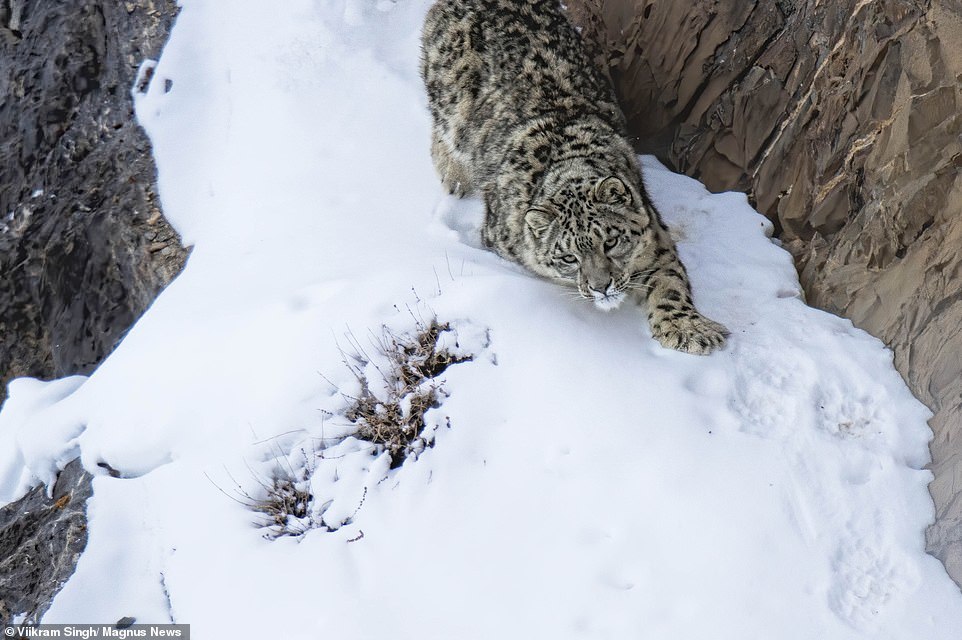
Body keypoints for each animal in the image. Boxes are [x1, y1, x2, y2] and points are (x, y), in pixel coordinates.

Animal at [416, 0, 724, 356]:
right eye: (568, 257)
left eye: (611, 241)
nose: (602, 287)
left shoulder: (656, 239)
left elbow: (670, 281)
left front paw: (688, 329)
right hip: (450, 99)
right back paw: (454, 176)